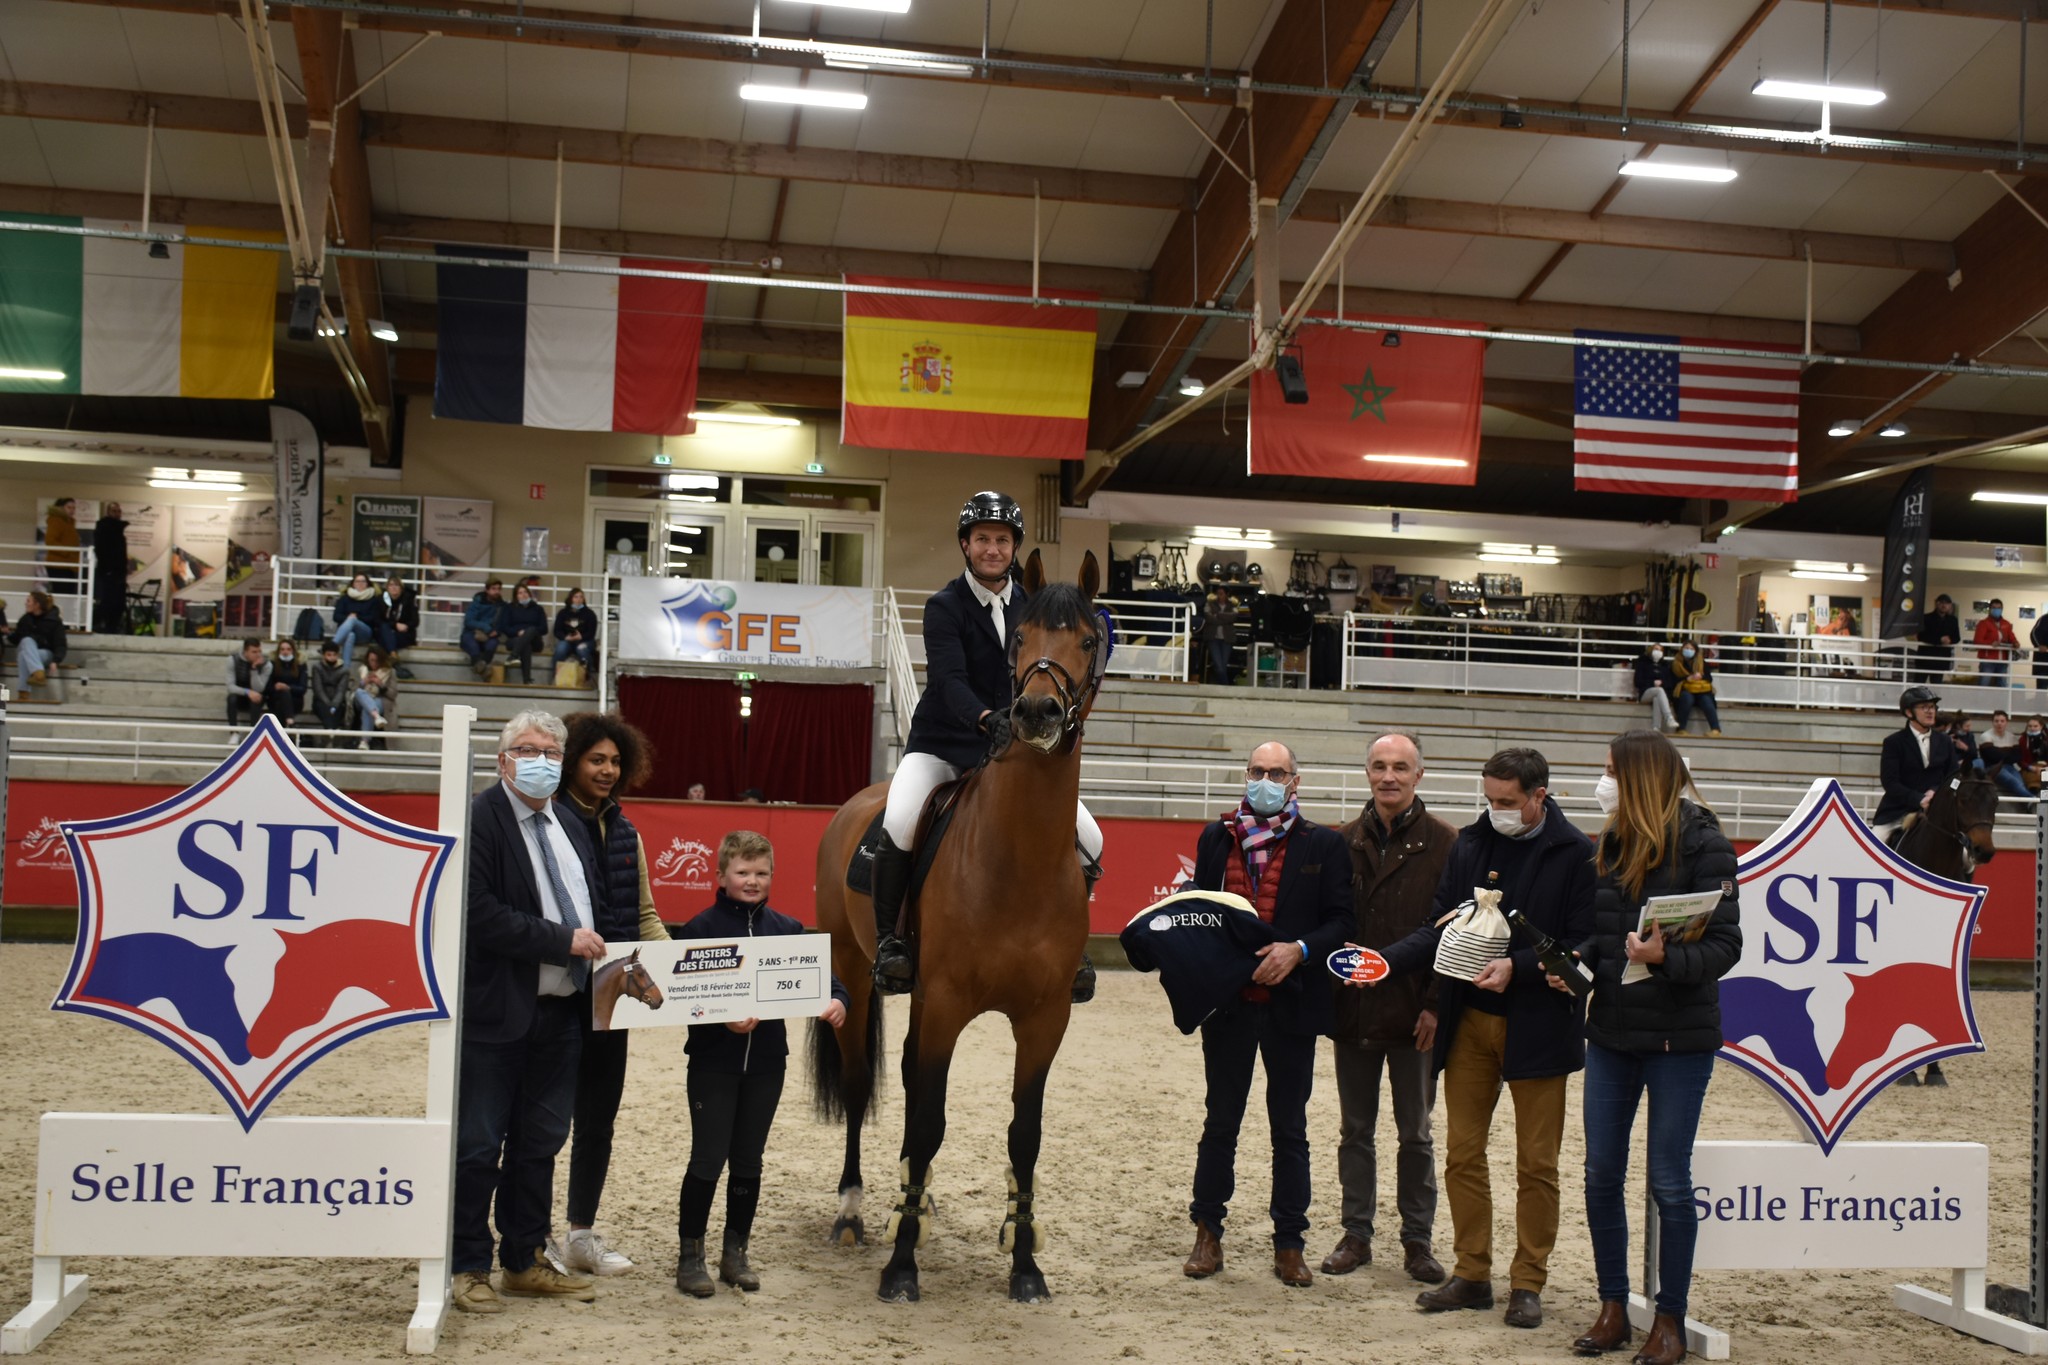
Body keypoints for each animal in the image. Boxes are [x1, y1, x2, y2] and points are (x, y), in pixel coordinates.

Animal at [810, 548, 1102, 1305]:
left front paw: (1025, 1263)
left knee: (912, 1081)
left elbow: (1023, 1133)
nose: (1034, 712)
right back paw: (855, 1211)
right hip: (855, 970)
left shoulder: (1045, 1016)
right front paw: (901, 1266)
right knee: (864, 1083)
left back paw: (914, 1194)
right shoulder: (943, 1000)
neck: (1019, 856)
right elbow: (929, 1113)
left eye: (1089, 640)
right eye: (1019, 639)